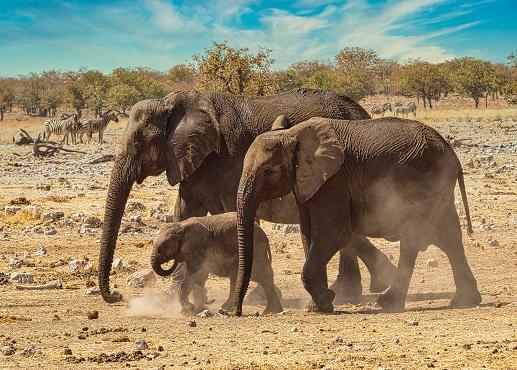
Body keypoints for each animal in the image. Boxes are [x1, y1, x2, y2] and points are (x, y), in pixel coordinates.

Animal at [151, 212, 282, 314]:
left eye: (165, 246)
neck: (180, 226)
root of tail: (264, 235)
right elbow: (197, 279)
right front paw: (198, 308)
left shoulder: (200, 250)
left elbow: (194, 276)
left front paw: (188, 310)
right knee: (244, 279)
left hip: (256, 252)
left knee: (262, 276)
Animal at [232, 115, 482, 316]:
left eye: (268, 171)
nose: (234, 312)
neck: (293, 134)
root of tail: (451, 151)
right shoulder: (308, 185)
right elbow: (308, 235)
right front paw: (317, 306)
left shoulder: (333, 182)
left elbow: (334, 234)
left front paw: (326, 302)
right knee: (448, 238)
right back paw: (464, 301)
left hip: (423, 182)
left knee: (415, 239)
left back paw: (388, 304)